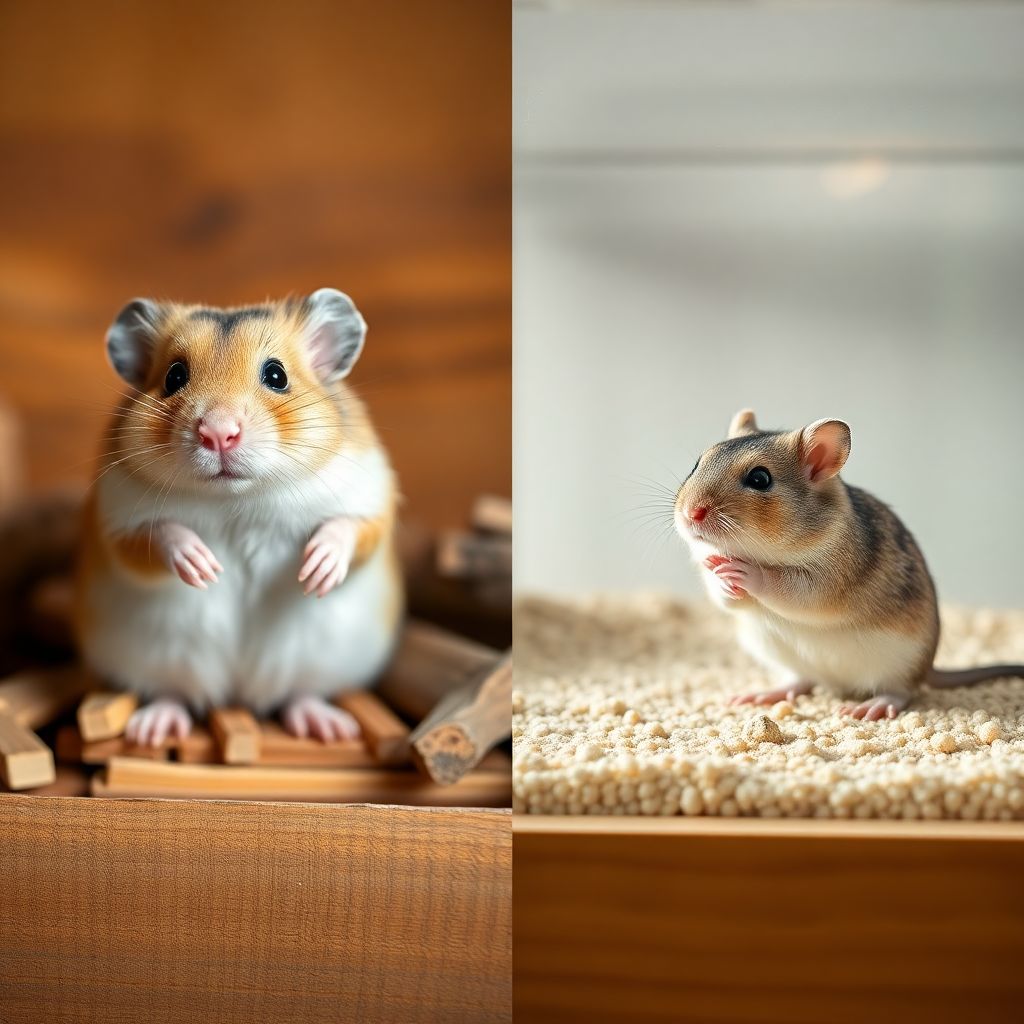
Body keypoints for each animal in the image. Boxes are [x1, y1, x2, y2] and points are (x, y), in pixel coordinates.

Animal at [75, 289, 403, 746]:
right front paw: (205, 568)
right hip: (154, 658)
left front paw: (316, 571)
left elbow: (349, 529)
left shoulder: (370, 497)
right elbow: (157, 536)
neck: (236, 499)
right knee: (172, 693)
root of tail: (239, 695)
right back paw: (151, 730)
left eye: (277, 375)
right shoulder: (117, 520)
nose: (218, 433)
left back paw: (330, 728)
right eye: (174, 376)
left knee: (299, 694)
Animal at [674, 408, 1024, 719]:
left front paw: (745, 572)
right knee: (801, 680)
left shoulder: (822, 583)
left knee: (901, 692)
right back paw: (763, 694)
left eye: (760, 478)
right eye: (697, 463)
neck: (765, 550)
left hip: (900, 662)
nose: (690, 514)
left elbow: (783, 586)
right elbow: (726, 598)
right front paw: (723, 577)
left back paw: (871, 707)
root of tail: (929, 667)